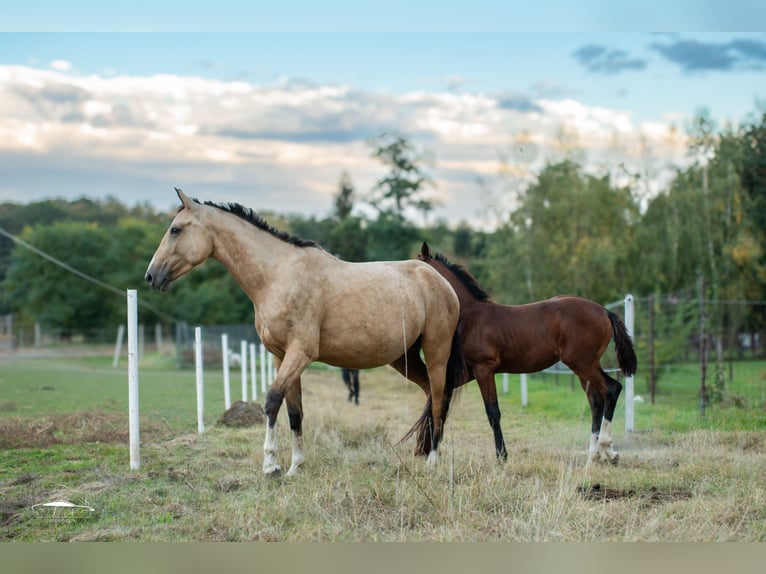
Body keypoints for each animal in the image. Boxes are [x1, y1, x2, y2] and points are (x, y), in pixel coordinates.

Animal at [144, 189, 465, 476]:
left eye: (175, 229)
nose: (151, 276)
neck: (278, 275)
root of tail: (439, 281)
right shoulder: (281, 356)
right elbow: (294, 411)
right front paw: (295, 466)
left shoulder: (300, 353)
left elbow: (272, 401)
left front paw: (271, 465)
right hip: (404, 357)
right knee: (430, 394)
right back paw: (423, 452)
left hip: (436, 353)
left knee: (440, 400)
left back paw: (432, 462)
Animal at [407, 242, 637, 465]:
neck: (469, 316)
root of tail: (604, 311)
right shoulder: (465, 374)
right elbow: (439, 404)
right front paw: (431, 456)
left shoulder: (484, 369)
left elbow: (492, 412)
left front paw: (501, 457)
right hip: (584, 368)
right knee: (596, 402)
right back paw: (594, 456)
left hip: (583, 364)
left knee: (611, 389)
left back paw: (607, 449)